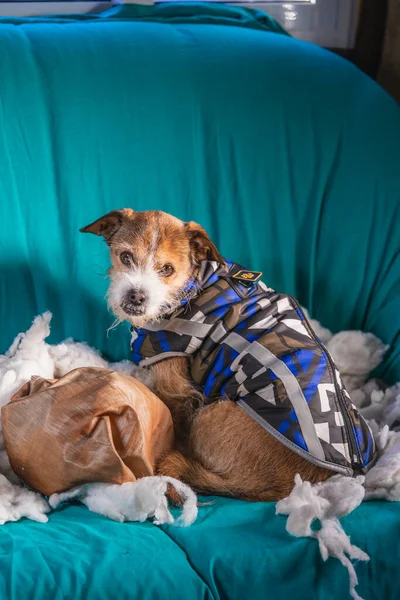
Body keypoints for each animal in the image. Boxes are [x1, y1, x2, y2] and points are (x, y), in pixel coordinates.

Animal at [80, 211, 376, 502]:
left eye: (167, 269)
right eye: (125, 257)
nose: (136, 297)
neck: (195, 283)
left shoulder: (173, 382)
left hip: (209, 416)